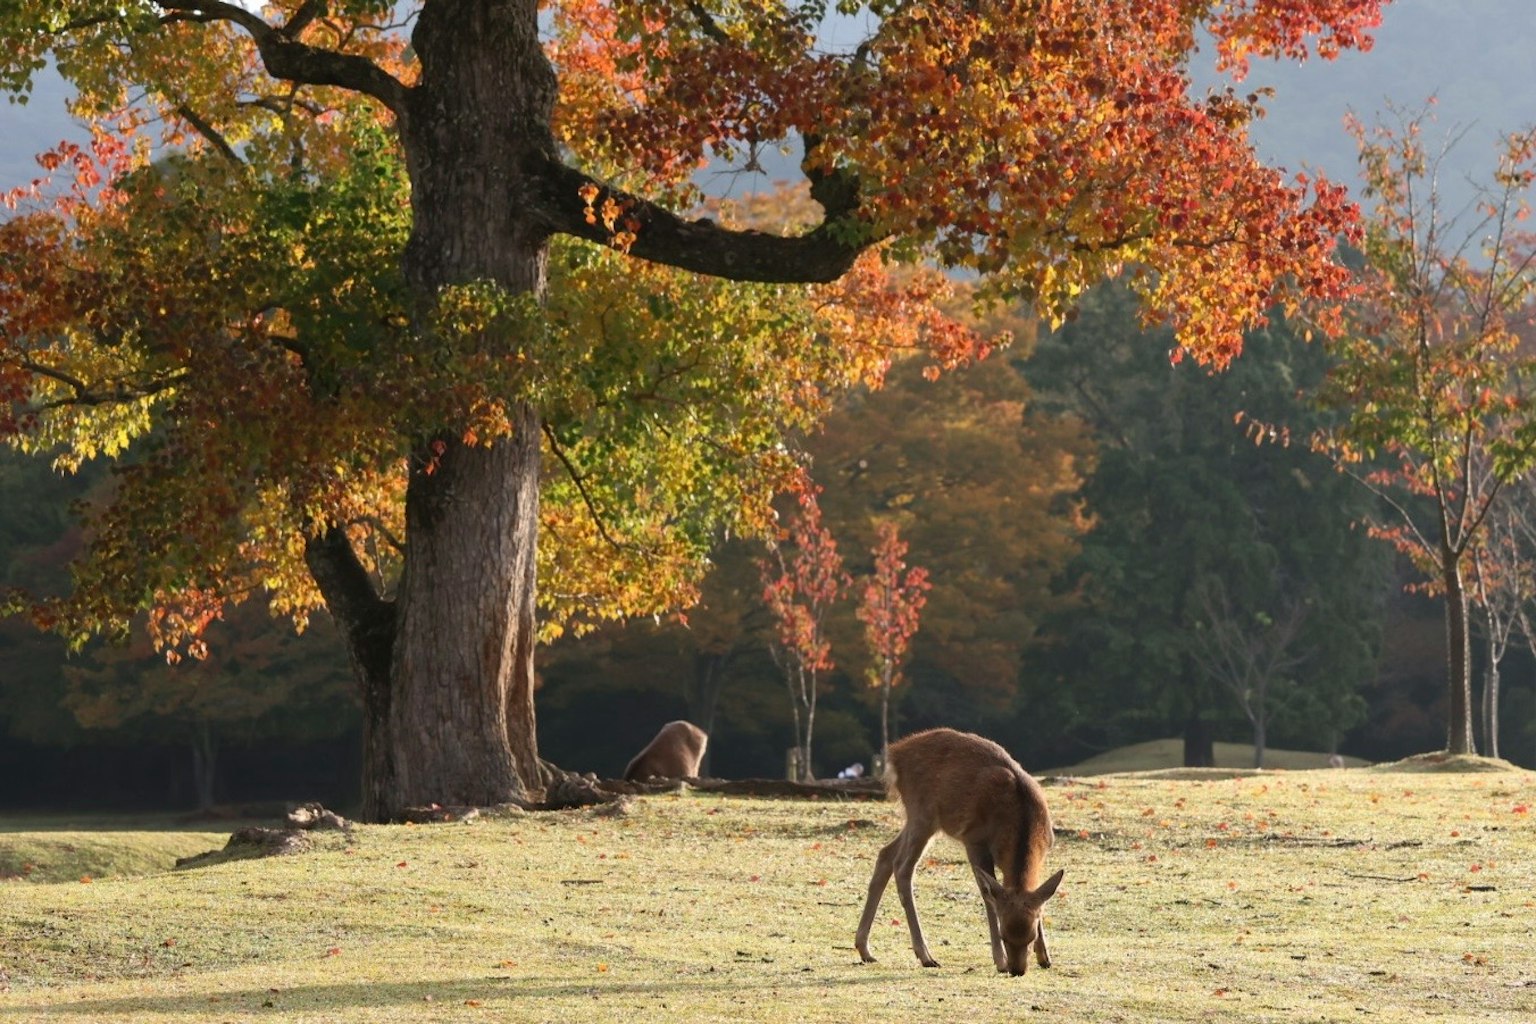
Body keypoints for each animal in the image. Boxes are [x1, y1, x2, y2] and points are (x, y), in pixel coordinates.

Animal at [854, 727, 1064, 976]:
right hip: (922, 813)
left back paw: (865, 950)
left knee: (885, 854)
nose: (1016, 970)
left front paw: (1045, 957)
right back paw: (926, 956)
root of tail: (894, 754)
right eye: (1004, 935)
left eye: (1030, 937)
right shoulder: (974, 840)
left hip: (921, 820)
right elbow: (987, 894)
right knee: (902, 866)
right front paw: (1000, 960)